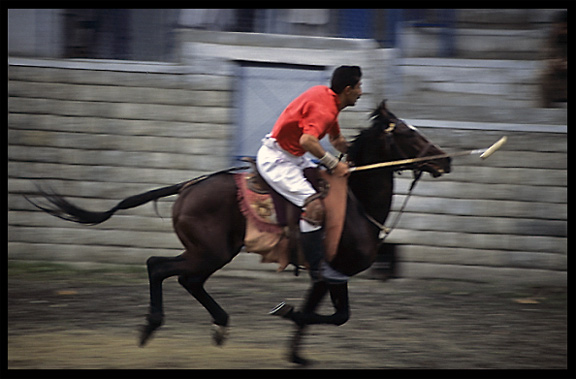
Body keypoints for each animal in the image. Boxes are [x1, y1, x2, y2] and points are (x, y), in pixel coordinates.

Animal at [27, 100, 450, 366]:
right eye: (408, 133)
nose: (444, 159)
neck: (355, 204)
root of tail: (188, 186)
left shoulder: (328, 276)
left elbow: (327, 315)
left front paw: (296, 352)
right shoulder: (332, 273)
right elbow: (331, 315)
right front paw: (288, 315)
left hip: (213, 252)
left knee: (185, 279)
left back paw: (218, 325)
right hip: (210, 251)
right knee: (159, 267)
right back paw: (153, 325)